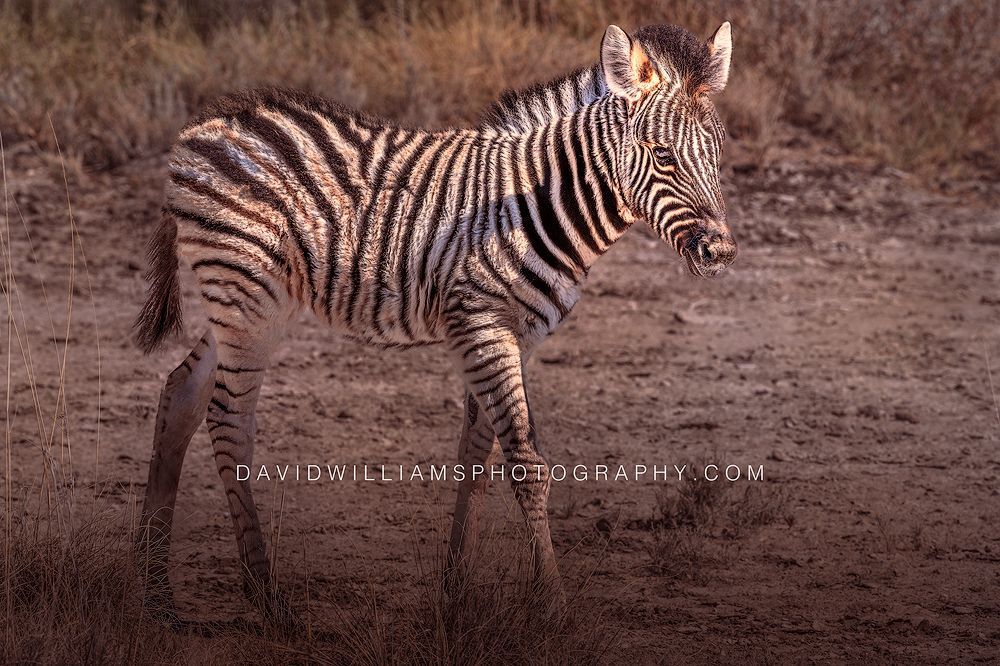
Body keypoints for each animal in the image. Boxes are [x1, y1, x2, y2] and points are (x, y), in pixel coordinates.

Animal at [135, 22, 737, 625]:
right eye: (662, 157)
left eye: (718, 155)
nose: (722, 253)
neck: (539, 201)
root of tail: (202, 127)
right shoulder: (483, 322)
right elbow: (525, 460)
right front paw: (551, 602)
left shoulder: (512, 333)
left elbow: (477, 453)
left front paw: (457, 590)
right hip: (246, 294)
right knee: (229, 420)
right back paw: (264, 593)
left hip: (248, 303)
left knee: (181, 393)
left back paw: (155, 588)